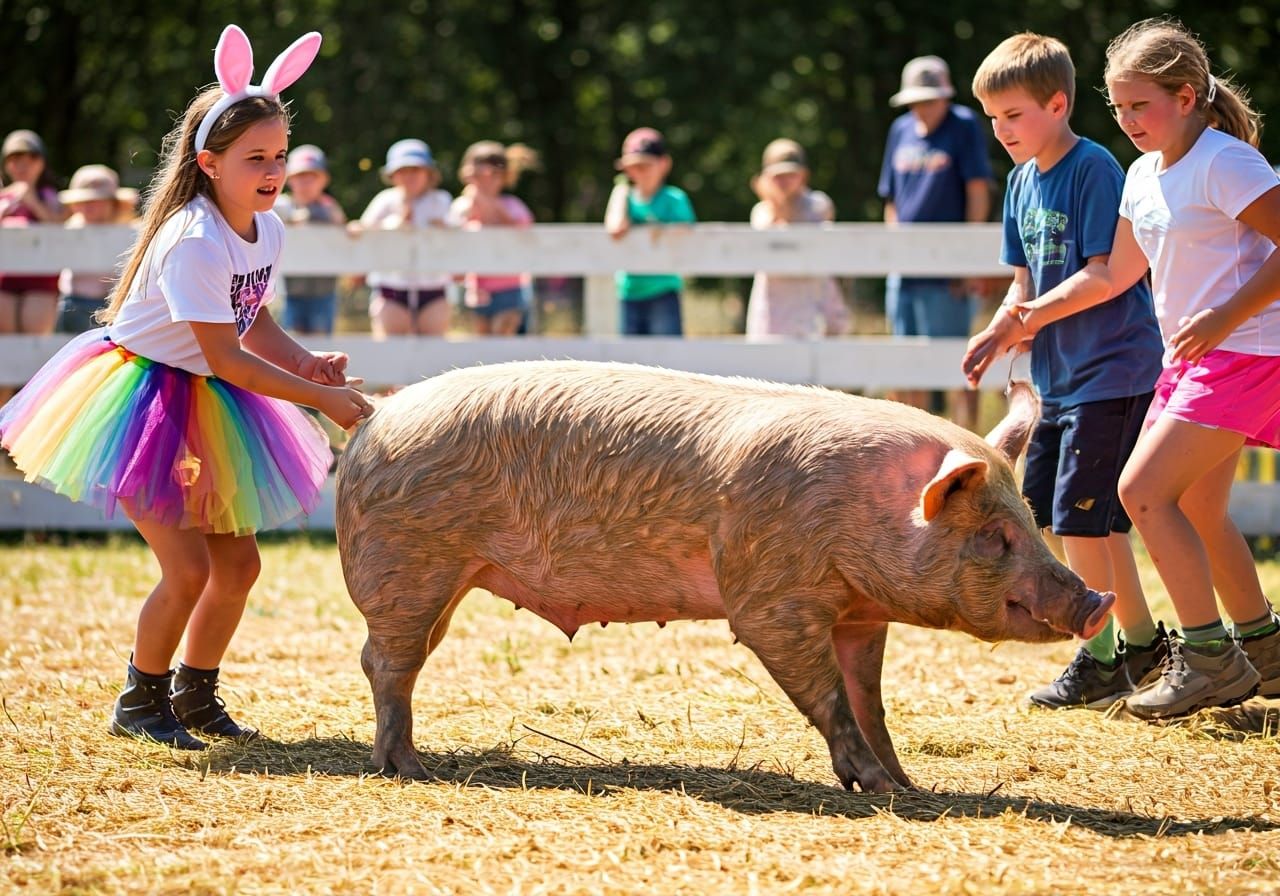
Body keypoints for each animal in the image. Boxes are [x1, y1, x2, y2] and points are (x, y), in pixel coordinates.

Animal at [336, 361, 1113, 793]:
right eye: (994, 536)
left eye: (1031, 518)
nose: (1096, 600)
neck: (858, 515)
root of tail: (377, 411)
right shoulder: (771, 595)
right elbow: (826, 695)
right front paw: (870, 786)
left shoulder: (862, 613)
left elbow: (871, 699)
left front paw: (905, 781)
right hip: (408, 565)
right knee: (384, 661)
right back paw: (408, 768)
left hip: (441, 578)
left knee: (397, 659)